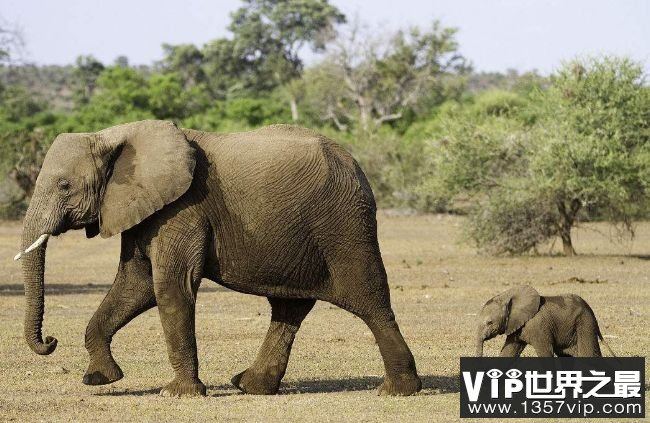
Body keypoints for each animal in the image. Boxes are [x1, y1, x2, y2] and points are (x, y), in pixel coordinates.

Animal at [16, 119, 420, 398]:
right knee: (289, 308)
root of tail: (356, 166)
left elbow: (170, 287)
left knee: (369, 301)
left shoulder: (183, 208)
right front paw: (99, 379)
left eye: (64, 186)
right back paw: (250, 386)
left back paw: (397, 391)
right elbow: (135, 286)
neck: (115, 136)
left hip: (344, 226)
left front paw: (177, 394)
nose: (50, 340)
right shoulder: (143, 208)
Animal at [474, 284, 612, 358]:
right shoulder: (516, 326)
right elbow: (508, 352)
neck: (507, 297)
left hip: (585, 323)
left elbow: (545, 351)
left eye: (489, 322)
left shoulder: (538, 326)